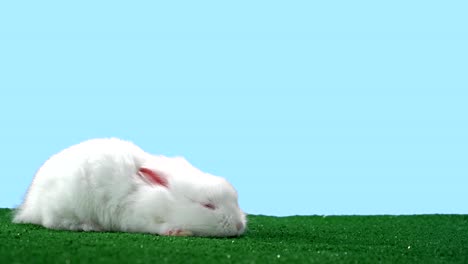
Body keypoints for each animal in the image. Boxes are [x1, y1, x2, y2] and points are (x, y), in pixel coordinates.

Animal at [12, 138, 247, 237]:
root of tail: (31, 205)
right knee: (53, 222)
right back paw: (90, 227)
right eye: (208, 205)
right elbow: (156, 227)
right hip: (66, 209)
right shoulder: (137, 218)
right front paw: (178, 232)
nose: (239, 226)